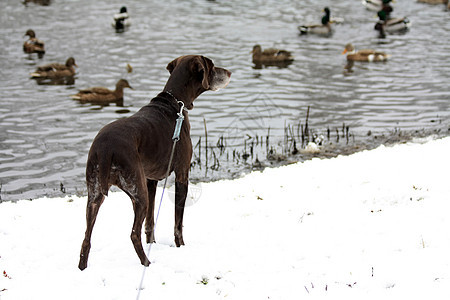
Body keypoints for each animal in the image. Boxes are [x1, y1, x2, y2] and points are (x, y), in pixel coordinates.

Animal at [78, 55, 232, 270]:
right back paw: (147, 263)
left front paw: (153, 243)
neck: (175, 102)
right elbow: (178, 222)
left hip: (95, 194)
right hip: (137, 192)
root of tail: (106, 148)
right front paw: (180, 247)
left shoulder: (151, 180)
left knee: (86, 237)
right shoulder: (182, 174)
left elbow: (150, 222)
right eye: (211, 65)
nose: (229, 72)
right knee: (133, 233)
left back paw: (82, 268)